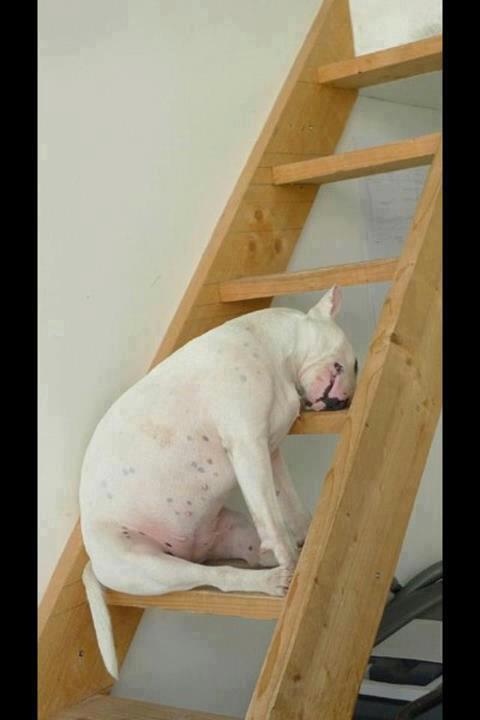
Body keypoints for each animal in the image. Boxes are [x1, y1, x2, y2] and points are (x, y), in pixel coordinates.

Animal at [79, 284, 356, 676]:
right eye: (350, 365)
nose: (342, 403)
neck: (275, 350)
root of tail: (91, 558)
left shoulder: (270, 453)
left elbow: (289, 506)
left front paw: (306, 538)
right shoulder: (248, 446)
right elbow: (274, 521)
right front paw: (291, 560)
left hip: (232, 534)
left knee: (247, 551)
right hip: (152, 566)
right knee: (219, 577)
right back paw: (274, 580)